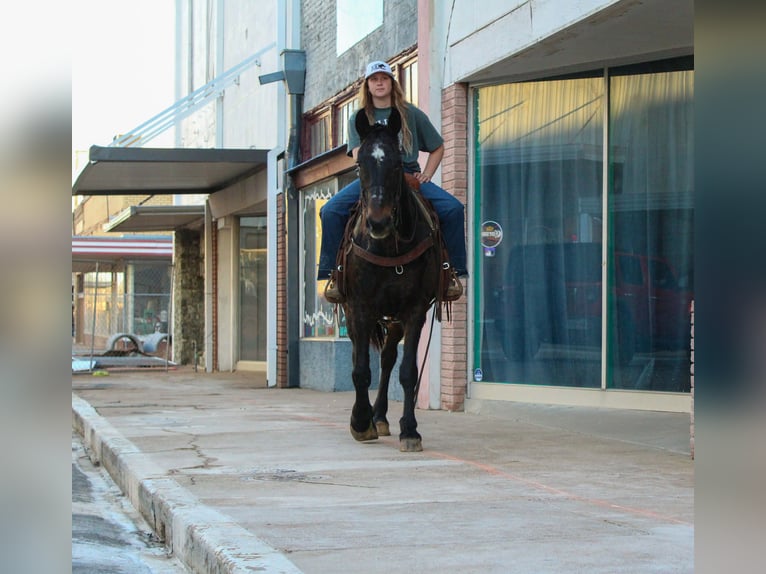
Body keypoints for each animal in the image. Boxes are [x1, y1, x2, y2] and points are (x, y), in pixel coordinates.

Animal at [334, 107, 448, 452]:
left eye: (397, 164)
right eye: (360, 164)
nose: (378, 222)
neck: (388, 246)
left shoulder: (414, 310)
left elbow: (408, 371)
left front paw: (409, 430)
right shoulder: (359, 307)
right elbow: (360, 369)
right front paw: (360, 423)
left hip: (393, 317)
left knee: (387, 359)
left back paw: (381, 415)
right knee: (364, 357)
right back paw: (370, 417)